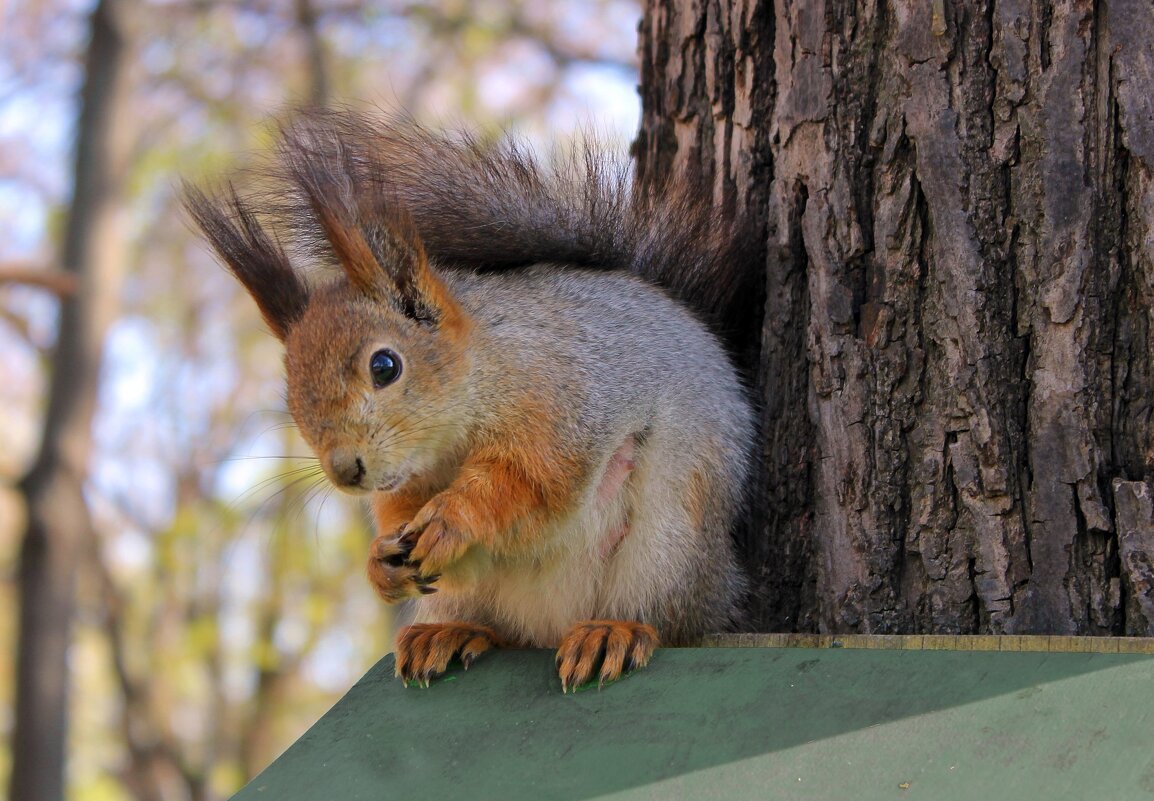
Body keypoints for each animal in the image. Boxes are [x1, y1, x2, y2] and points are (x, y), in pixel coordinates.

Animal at [185, 109, 761, 692]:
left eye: (385, 366)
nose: (346, 471)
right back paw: (451, 633)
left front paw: (451, 518)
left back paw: (612, 631)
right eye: (290, 390)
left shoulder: (562, 403)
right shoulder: (410, 483)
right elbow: (405, 518)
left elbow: (531, 483)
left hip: (671, 541)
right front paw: (380, 560)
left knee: (666, 618)